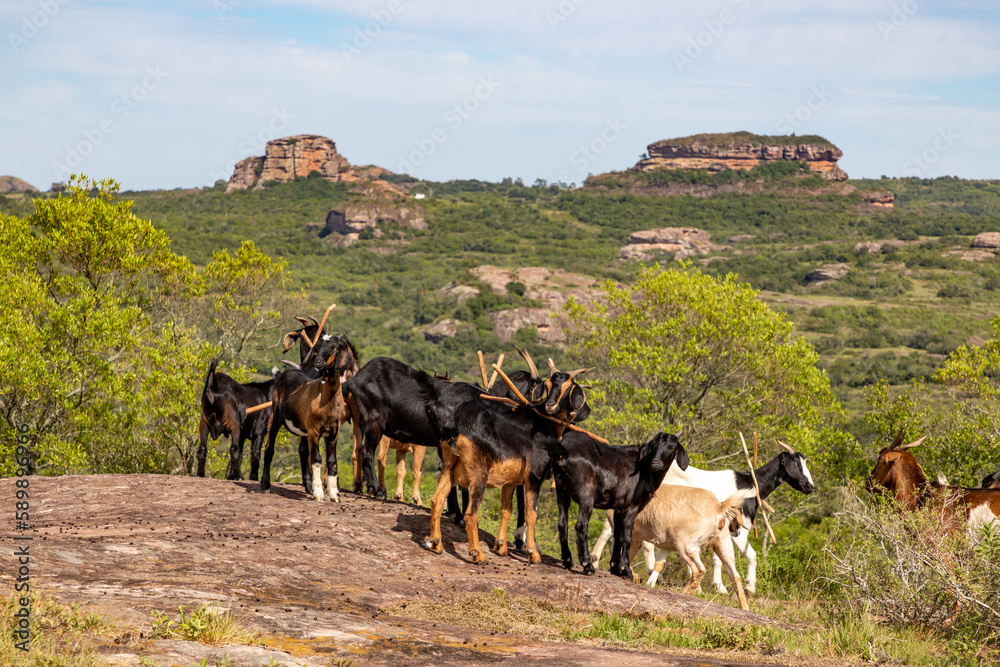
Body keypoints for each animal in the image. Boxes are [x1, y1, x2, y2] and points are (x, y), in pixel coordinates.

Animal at [260, 334, 358, 500]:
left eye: (333, 347)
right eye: (316, 348)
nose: (318, 362)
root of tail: (282, 374)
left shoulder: (333, 432)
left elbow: (332, 461)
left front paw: (334, 494)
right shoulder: (314, 430)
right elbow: (316, 459)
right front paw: (318, 493)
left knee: (303, 450)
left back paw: (308, 486)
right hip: (275, 417)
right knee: (269, 449)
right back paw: (265, 485)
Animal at [422, 368, 584, 568]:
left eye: (568, 387)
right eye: (547, 385)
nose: (551, 406)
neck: (543, 425)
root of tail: (454, 425)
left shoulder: (510, 481)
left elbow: (506, 510)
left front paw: (501, 547)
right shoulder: (534, 476)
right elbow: (531, 512)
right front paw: (533, 554)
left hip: (449, 466)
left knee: (436, 500)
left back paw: (436, 544)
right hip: (479, 473)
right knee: (471, 514)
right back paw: (477, 555)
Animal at [548, 430, 688, 580]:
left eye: (672, 448)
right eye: (654, 445)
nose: (655, 463)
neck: (644, 470)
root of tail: (565, 449)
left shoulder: (619, 507)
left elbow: (617, 535)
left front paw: (615, 568)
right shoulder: (631, 506)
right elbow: (627, 537)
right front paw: (625, 570)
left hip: (561, 490)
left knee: (562, 524)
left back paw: (567, 561)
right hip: (586, 493)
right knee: (581, 526)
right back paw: (588, 566)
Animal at [592, 444, 812, 596]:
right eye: (796, 464)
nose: (810, 486)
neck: (748, 484)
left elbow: (718, 558)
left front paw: (716, 586)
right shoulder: (735, 529)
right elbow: (749, 555)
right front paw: (745, 587)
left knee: (611, 529)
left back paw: (598, 560)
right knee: (642, 542)